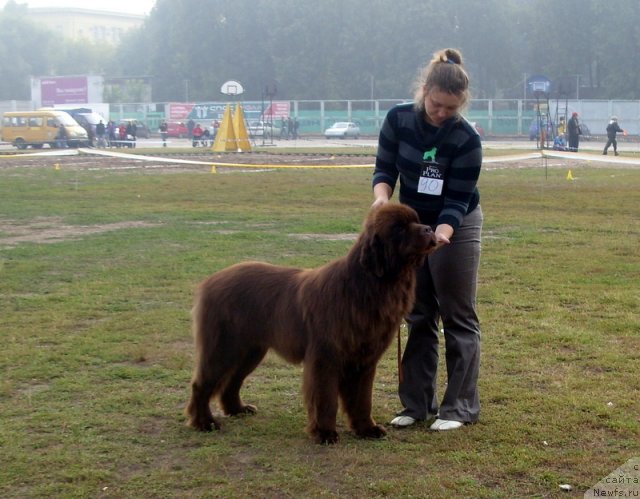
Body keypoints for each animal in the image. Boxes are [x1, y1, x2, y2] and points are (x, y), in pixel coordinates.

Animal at [185, 203, 436, 446]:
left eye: (416, 220)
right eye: (399, 228)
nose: (429, 229)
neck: (366, 286)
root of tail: (209, 281)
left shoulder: (365, 359)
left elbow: (362, 399)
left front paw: (366, 429)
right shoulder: (325, 357)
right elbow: (325, 398)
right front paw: (325, 433)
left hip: (250, 350)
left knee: (232, 381)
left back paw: (237, 409)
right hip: (223, 347)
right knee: (202, 384)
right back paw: (204, 422)